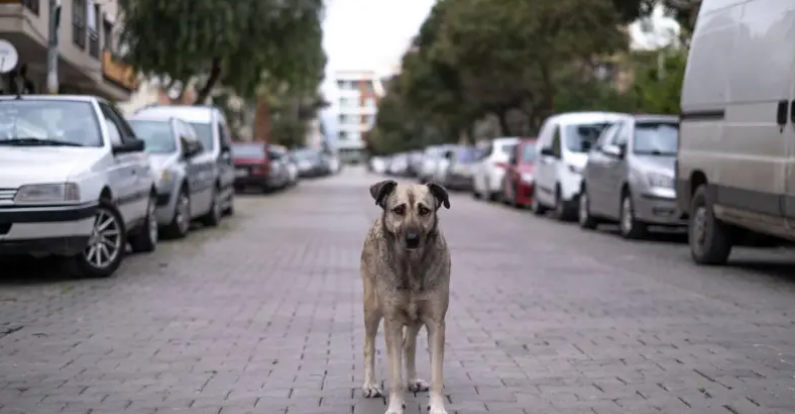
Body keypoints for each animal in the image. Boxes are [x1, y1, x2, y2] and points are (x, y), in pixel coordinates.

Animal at [362, 180, 450, 414]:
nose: (412, 239)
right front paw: (394, 407)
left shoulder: (436, 322)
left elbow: (437, 375)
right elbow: (395, 377)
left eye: (424, 211)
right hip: (371, 308)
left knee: (409, 344)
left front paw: (437, 407)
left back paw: (412, 380)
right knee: (369, 345)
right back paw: (370, 385)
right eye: (398, 210)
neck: (411, 265)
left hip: (415, 317)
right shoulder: (392, 321)